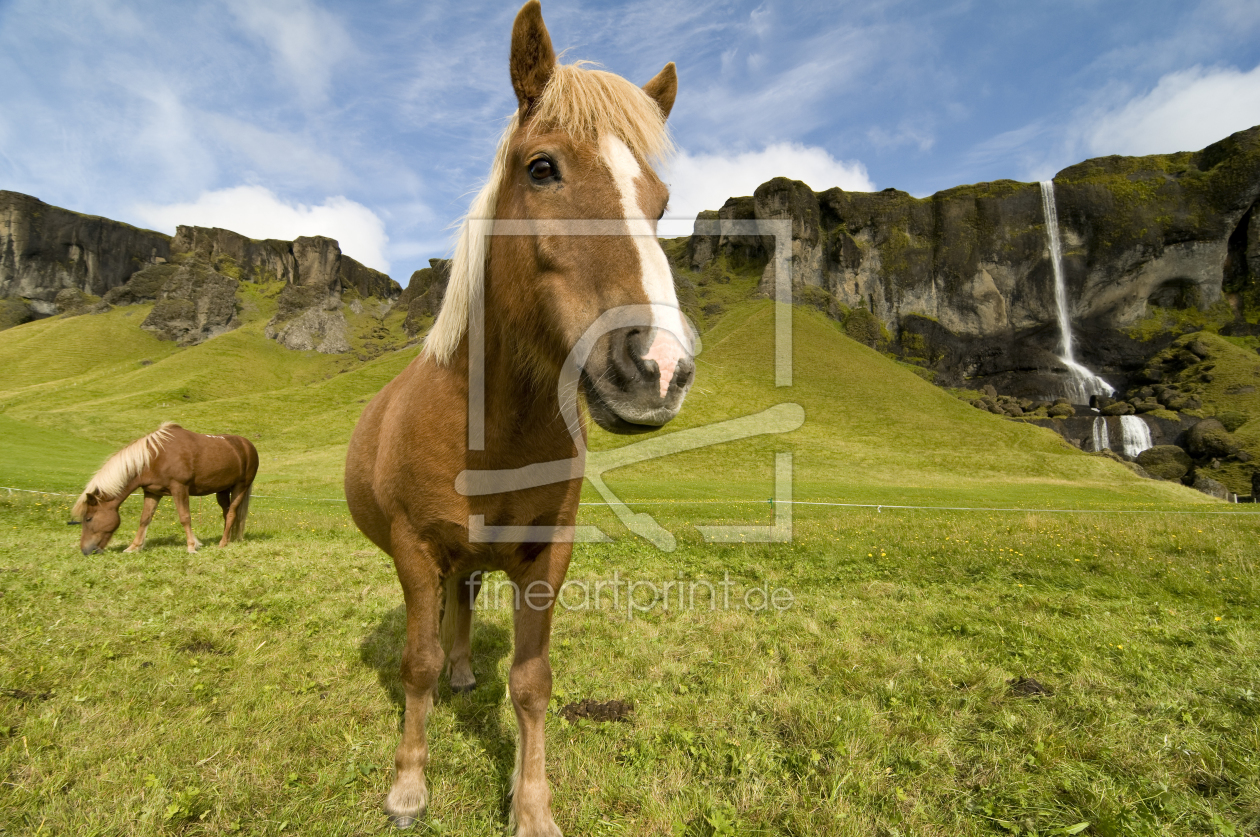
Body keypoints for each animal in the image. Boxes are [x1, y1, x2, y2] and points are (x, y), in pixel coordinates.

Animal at [72, 426, 259, 554]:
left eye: (88, 518)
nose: (85, 550)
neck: (154, 458)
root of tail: (248, 445)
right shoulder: (152, 492)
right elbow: (144, 519)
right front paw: (134, 547)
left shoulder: (179, 488)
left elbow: (185, 517)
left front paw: (192, 546)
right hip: (222, 490)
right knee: (227, 513)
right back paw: (228, 539)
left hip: (240, 487)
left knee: (232, 513)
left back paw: (223, 543)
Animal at [345, 3, 695, 831]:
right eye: (542, 168)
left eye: (661, 202)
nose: (659, 366)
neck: (488, 429)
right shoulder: (414, 549)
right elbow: (414, 662)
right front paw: (408, 782)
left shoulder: (545, 559)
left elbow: (532, 681)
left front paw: (531, 804)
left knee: (466, 604)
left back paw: (466, 670)